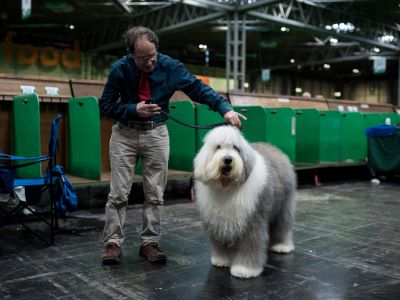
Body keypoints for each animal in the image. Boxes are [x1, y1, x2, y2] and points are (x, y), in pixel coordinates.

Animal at [195, 125, 296, 278]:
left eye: (236, 148)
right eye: (218, 147)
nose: (228, 159)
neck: (227, 186)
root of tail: (274, 148)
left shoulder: (251, 220)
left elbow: (250, 245)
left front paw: (244, 270)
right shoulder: (218, 222)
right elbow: (219, 244)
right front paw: (221, 260)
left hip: (284, 206)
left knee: (283, 225)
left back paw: (281, 246)